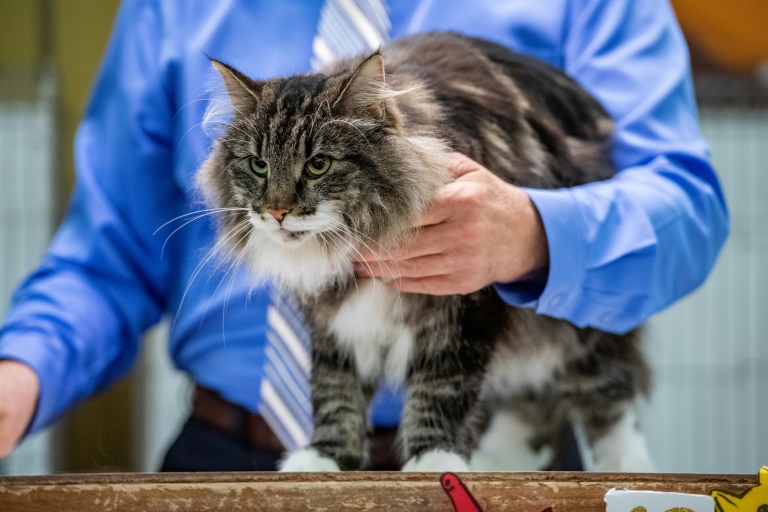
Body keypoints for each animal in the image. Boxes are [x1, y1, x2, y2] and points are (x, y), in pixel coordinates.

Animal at [198, 32, 656, 472]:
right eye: (258, 165)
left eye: (318, 164)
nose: (277, 212)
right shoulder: (333, 323)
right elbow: (335, 392)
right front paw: (325, 458)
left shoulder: (464, 311)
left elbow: (441, 390)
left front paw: (434, 459)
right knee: (533, 406)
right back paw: (495, 462)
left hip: (576, 328)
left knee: (607, 391)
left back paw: (624, 463)